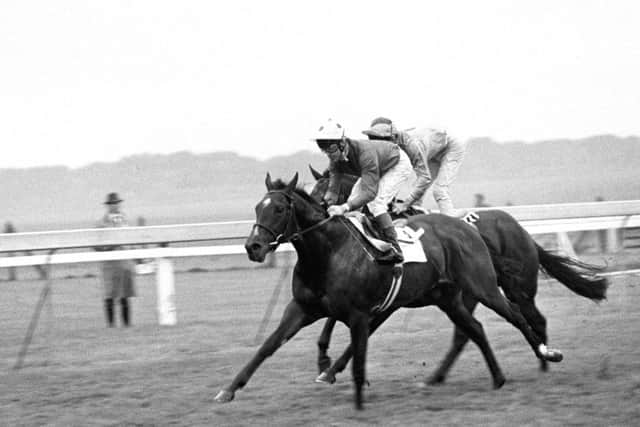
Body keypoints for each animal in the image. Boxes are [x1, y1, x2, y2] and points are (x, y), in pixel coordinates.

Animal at [216, 174, 564, 412]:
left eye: (277, 209)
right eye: (257, 207)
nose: (253, 247)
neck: (326, 252)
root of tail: (469, 229)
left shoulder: (365, 312)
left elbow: (357, 352)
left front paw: (343, 385)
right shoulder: (302, 308)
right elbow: (268, 347)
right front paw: (229, 390)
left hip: (485, 286)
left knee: (518, 316)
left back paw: (546, 354)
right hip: (448, 298)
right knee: (474, 330)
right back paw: (495, 377)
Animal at [308, 166, 608, 384]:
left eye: (323, 192)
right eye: (314, 191)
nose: (320, 214)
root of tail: (522, 231)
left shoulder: (389, 302)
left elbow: (360, 330)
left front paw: (331, 369)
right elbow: (333, 319)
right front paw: (324, 361)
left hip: (514, 289)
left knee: (532, 319)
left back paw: (543, 361)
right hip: (470, 294)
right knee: (468, 333)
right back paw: (438, 376)